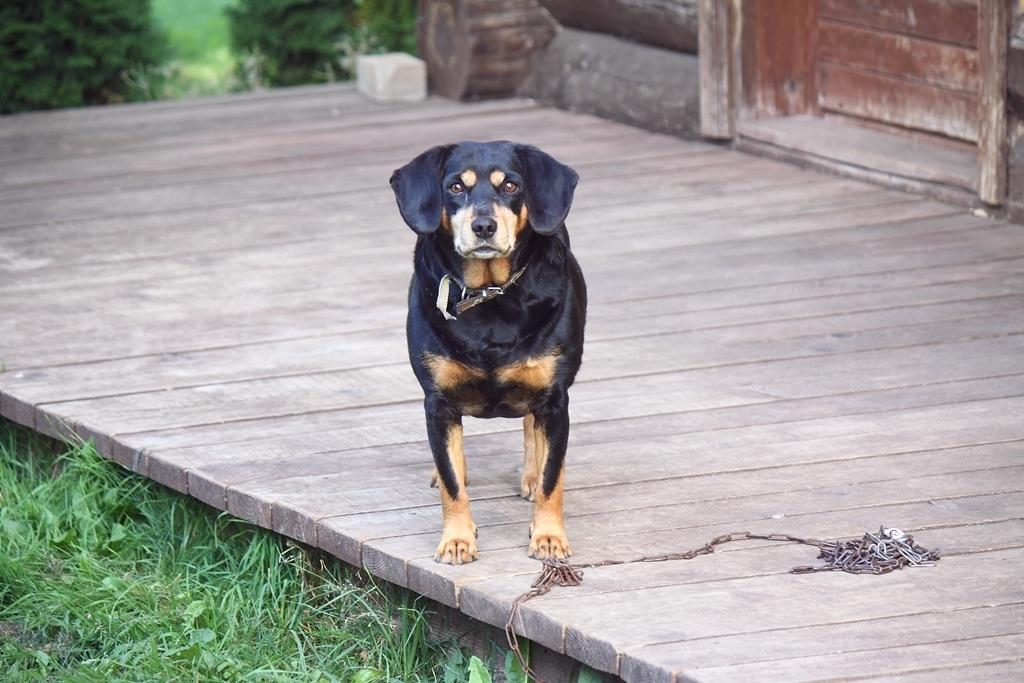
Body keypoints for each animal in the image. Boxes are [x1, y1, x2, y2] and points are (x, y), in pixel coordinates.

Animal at [389, 141, 585, 565]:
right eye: (455, 187)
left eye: (511, 185)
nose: (483, 226)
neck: (489, 295)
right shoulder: (438, 403)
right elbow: (452, 482)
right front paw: (457, 540)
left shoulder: (554, 400)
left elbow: (553, 476)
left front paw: (548, 536)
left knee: (532, 430)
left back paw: (530, 475)